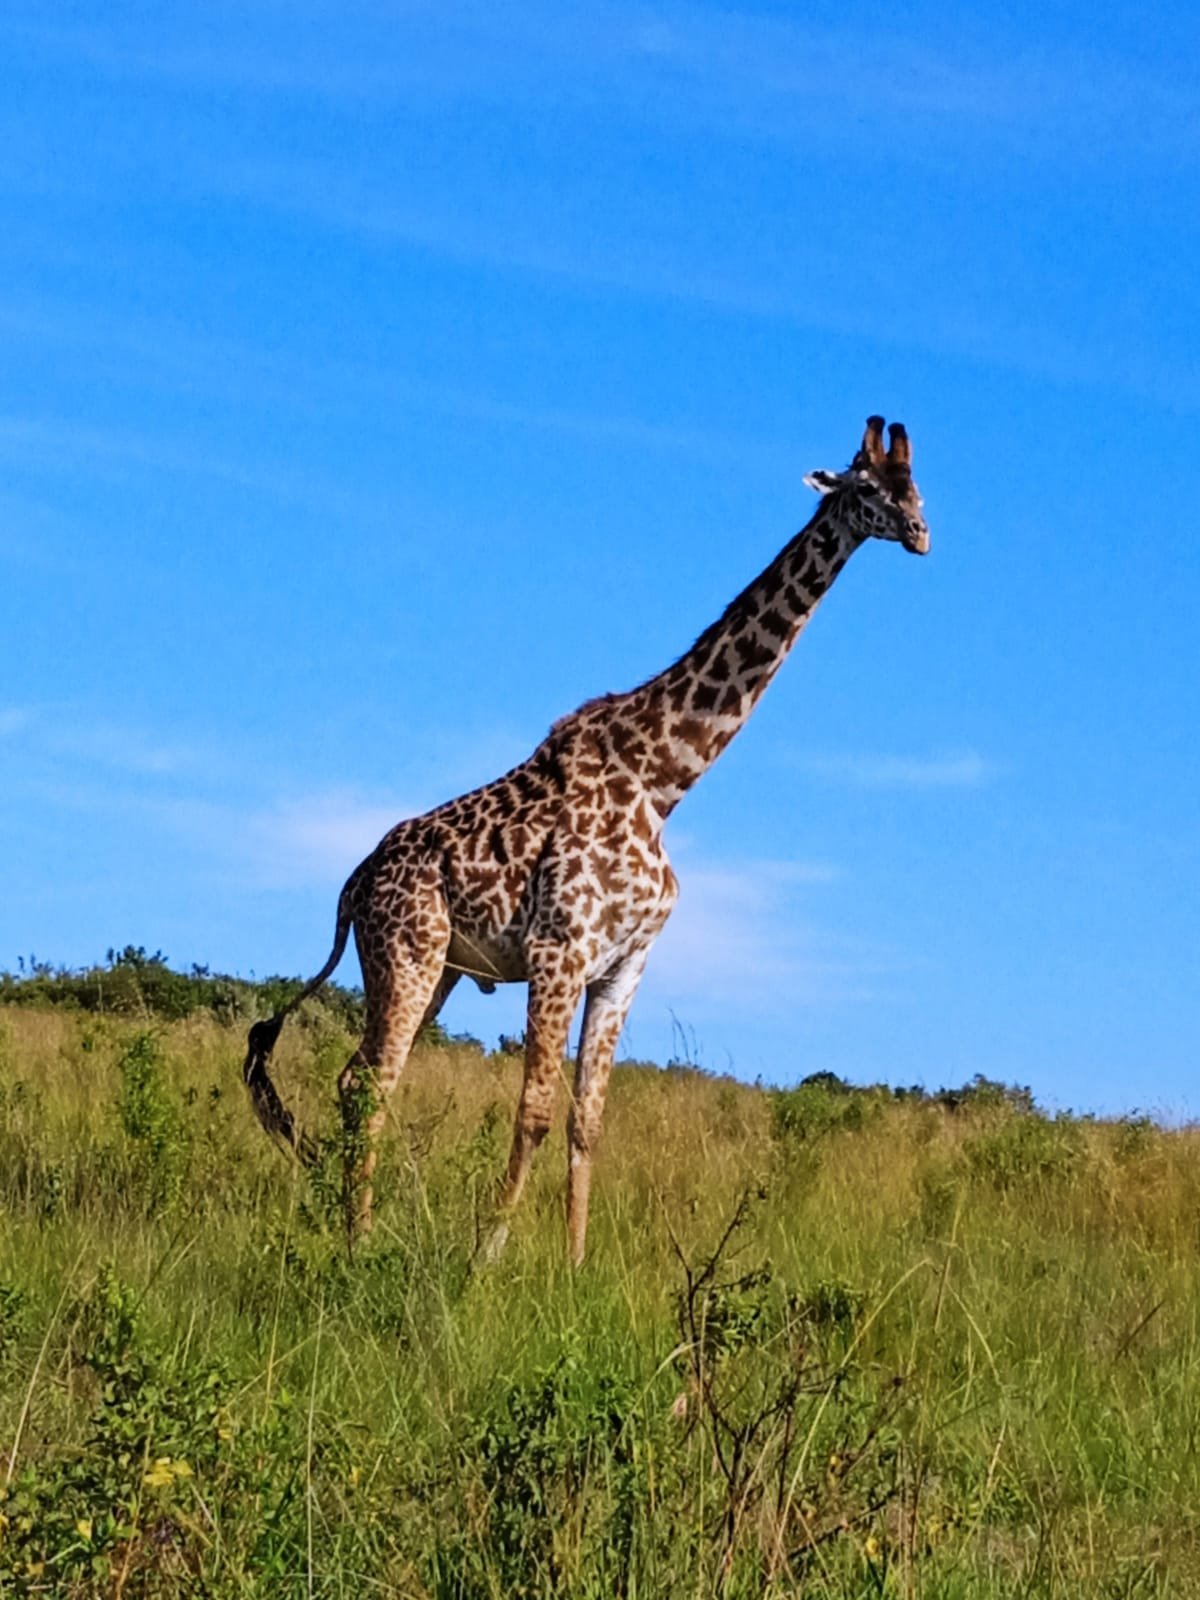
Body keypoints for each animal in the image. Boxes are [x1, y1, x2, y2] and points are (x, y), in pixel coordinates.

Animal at [244, 416, 928, 1260]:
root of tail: (352, 883)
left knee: (358, 1080)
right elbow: (535, 1110)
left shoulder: (624, 966)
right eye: (867, 487)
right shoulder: (557, 951)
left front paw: (571, 1267)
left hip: (436, 969)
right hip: (404, 953)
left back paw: (353, 1225)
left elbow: (588, 1122)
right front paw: (486, 1261)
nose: (921, 534)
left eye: (918, 485)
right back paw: (358, 1240)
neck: (665, 781)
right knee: (370, 1084)